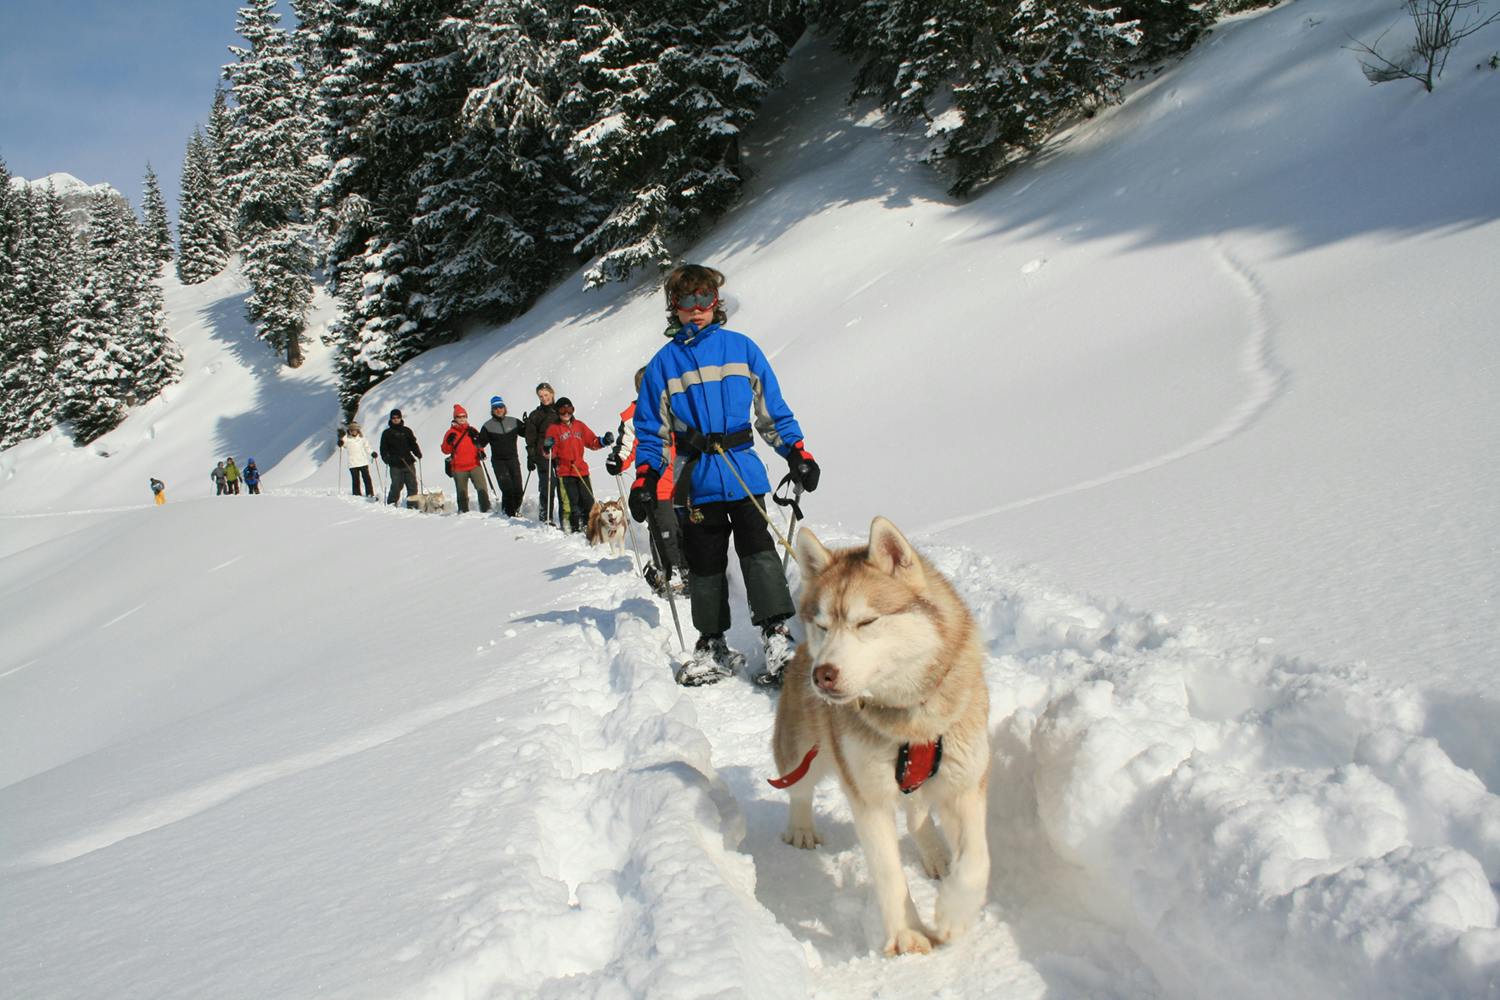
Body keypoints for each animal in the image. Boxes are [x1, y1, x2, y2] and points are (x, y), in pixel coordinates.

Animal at [768, 521, 990, 959]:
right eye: (823, 626)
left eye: (866, 622)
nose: (823, 675)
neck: (911, 721)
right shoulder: (867, 795)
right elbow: (888, 872)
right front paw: (907, 932)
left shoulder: (966, 783)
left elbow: (977, 860)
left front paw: (953, 913)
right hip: (800, 751)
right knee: (799, 790)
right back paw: (801, 828)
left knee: (918, 812)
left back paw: (936, 854)